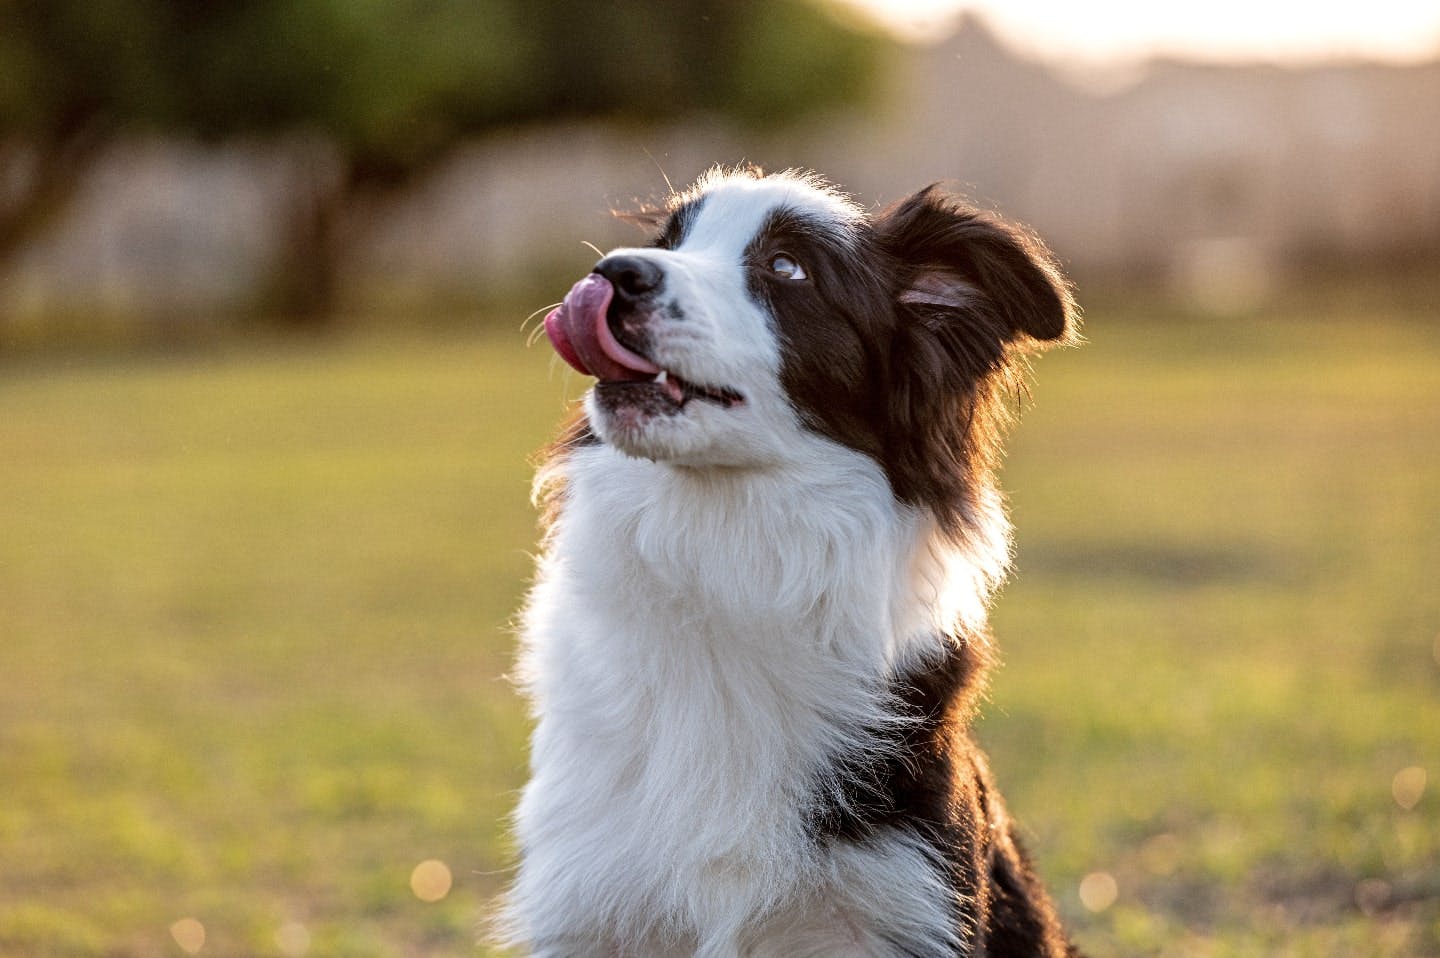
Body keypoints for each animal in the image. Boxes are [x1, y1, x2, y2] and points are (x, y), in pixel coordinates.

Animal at [501, 167, 1077, 950]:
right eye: (671, 241)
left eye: (786, 268)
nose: (613, 272)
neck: (727, 551)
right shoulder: (591, 896)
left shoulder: (903, 896)